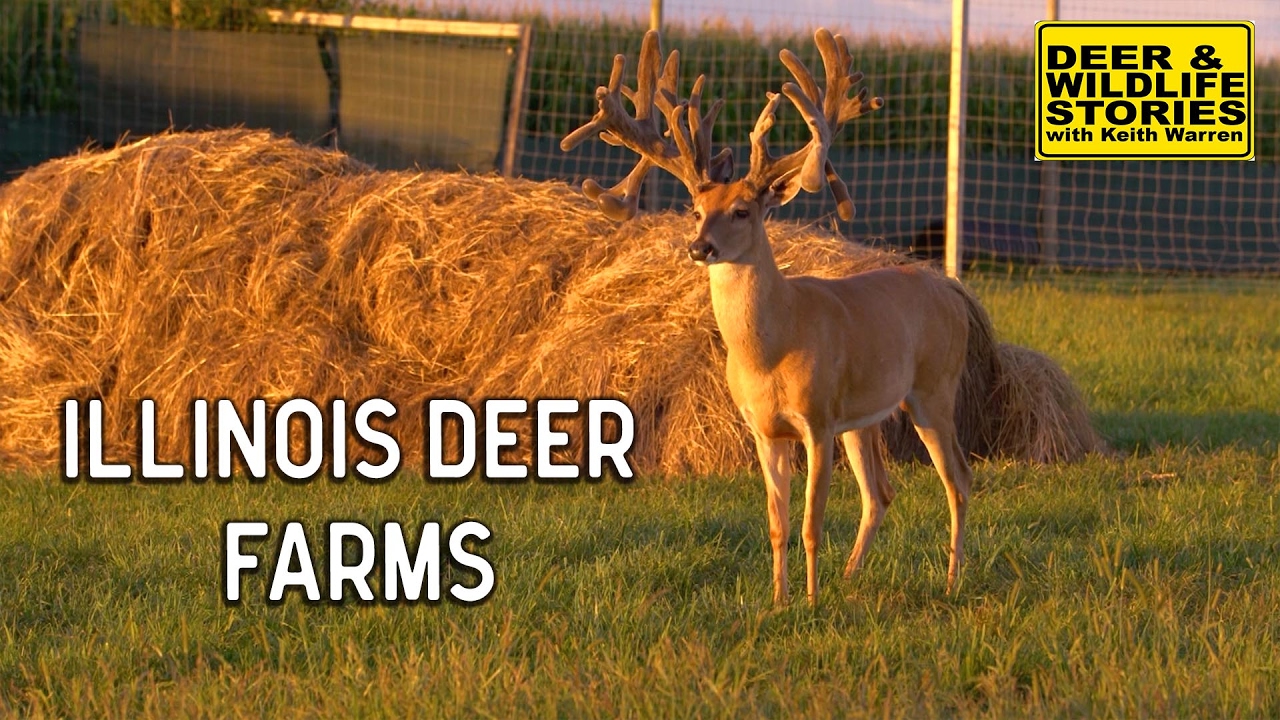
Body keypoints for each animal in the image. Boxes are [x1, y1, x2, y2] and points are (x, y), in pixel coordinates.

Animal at [561, 28, 979, 605]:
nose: (699, 247)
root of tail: (950, 289)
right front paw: (780, 601)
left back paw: (951, 580)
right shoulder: (763, 429)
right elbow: (778, 523)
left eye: (743, 211)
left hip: (935, 389)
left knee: (958, 481)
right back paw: (851, 577)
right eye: (696, 209)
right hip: (865, 416)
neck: (772, 346)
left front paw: (810, 601)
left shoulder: (817, 421)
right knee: (881, 492)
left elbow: (811, 524)